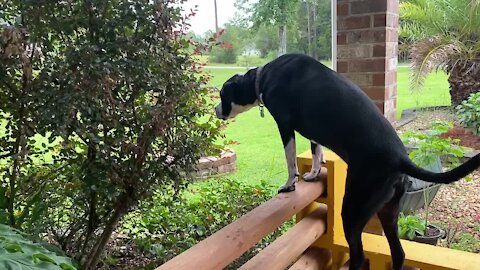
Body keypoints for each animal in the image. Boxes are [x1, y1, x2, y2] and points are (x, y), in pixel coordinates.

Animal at [216, 53, 478, 268]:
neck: (264, 76)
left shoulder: (285, 125)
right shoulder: (313, 131)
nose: (217, 110)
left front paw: (290, 184)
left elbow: (290, 160)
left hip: (353, 210)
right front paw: (313, 173)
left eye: (221, 94)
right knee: (398, 253)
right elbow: (316, 152)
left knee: (359, 256)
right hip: (388, 211)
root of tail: (400, 158)